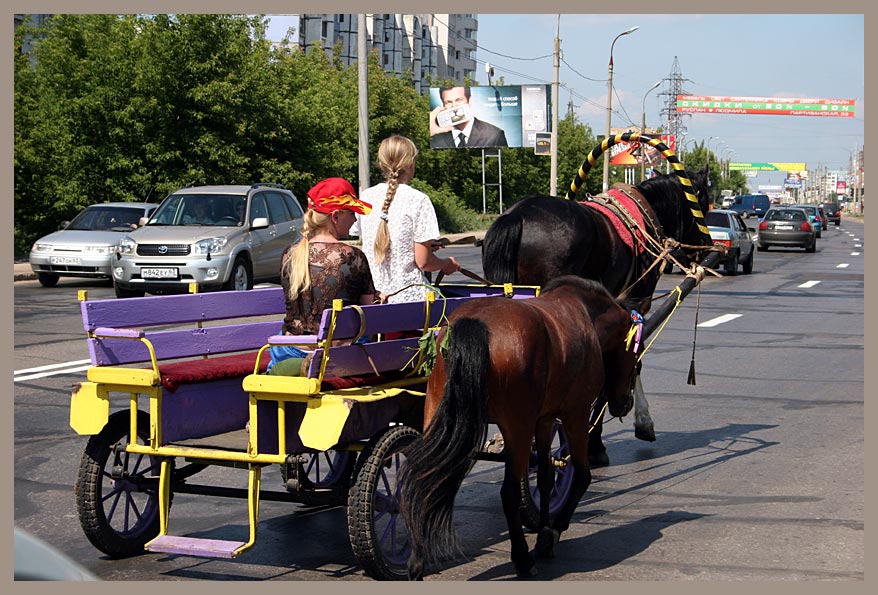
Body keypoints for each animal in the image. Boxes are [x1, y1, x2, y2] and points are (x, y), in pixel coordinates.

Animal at [404, 278, 648, 580]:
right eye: (637, 353)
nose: (625, 403)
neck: (586, 315)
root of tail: (475, 323)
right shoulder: (575, 415)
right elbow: (582, 475)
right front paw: (553, 531)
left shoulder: (543, 420)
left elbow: (545, 476)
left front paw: (544, 528)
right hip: (517, 428)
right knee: (508, 492)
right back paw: (522, 559)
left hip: (437, 412)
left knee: (425, 477)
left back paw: (417, 562)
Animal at [482, 166, 716, 466]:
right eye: (702, 201)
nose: (708, 246)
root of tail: (517, 216)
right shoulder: (635, 303)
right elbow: (630, 359)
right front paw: (606, 438)